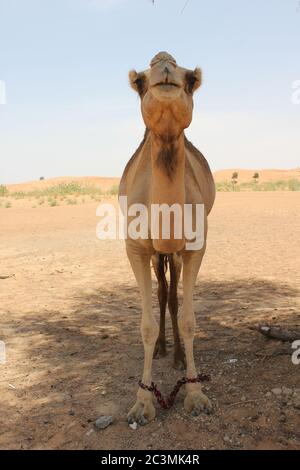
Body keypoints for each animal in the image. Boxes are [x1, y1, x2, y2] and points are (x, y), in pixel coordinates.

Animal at [119, 52, 216, 426]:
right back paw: (162, 348)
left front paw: (195, 393)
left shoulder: (194, 247)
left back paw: (175, 356)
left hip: (173, 253)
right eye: (139, 82)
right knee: (162, 292)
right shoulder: (135, 249)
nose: (164, 70)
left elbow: (188, 320)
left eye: (190, 79)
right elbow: (145, 325)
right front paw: (143, 402)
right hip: (153, 253)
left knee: (171, 294)